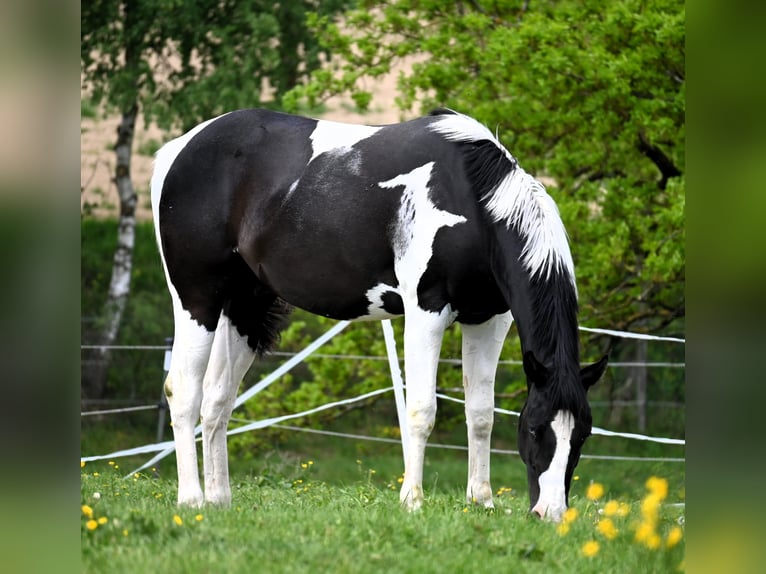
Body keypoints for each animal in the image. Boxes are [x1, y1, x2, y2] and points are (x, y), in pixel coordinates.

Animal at [150, 108, 608, 522]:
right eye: (534, 428)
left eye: (583, 433)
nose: (551, 512)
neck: (473, 200)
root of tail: (179, 149)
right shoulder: (426, 311)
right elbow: (421, 411)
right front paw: (413, 501)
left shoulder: (488, 320)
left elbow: (480, 413)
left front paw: (482, 501)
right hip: (197, 299)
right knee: (184, 391)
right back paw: (191, 500)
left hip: (245, 307)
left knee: (217, 399)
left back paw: (219, 500)